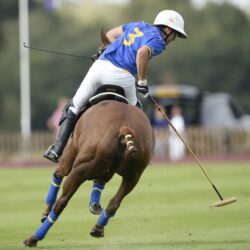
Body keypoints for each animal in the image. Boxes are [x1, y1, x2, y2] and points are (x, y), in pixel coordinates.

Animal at [23, 98, 154, 246]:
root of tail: (124, 127)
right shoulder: (107, 171)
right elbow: (99, 183)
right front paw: (95, 205)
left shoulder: (71, 153)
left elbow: (59, 174)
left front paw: (45, 213)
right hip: (133, 176)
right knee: (114, 204)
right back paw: (97, 228)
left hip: (79, 170)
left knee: (61, 203)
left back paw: (34, 238)